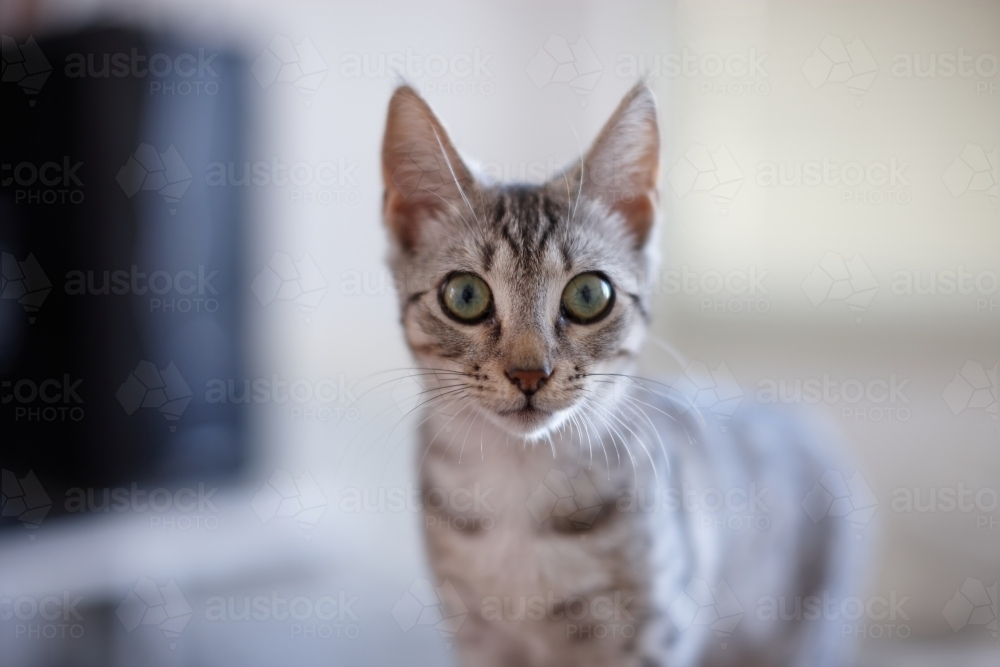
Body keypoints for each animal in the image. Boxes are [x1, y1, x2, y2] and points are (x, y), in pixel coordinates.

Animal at [378, 85, 864, 667]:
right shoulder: (476, 637)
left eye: (589, 294)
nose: (529, 373)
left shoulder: (652, 631)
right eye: (465, 295)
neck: (519, 486)